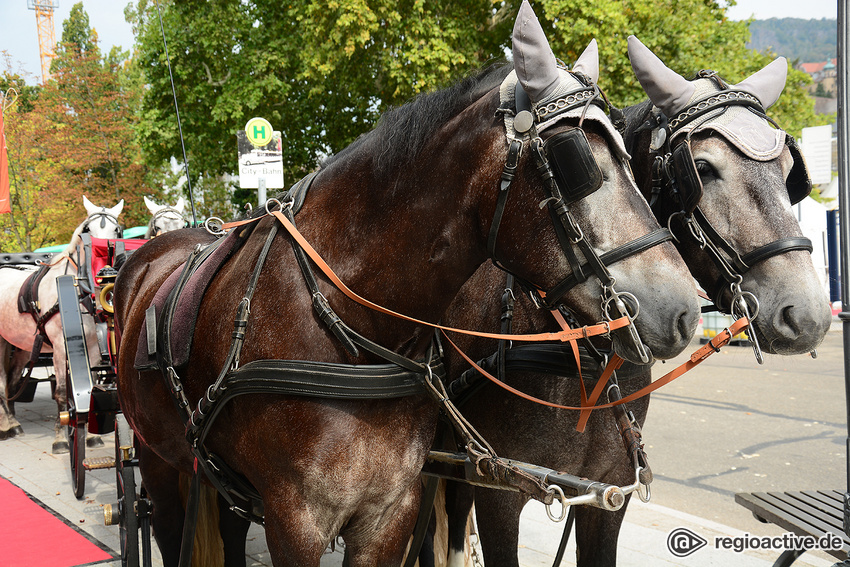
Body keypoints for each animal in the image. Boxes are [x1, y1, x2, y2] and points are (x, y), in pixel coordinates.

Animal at [0, 196, 124, 452]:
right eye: (87, 230)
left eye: (117, 230)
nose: (102, 272)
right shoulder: (59, 346)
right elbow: (61, 390)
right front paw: (61, 437)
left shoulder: (92, 346)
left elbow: (91, 385)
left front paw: (91, 435)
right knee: (1, 381)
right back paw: (7, 426)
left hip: (22, 344)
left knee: (12, 379)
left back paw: (13, 421)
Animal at [111, 10, 696, 567]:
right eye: (574, 161)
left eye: (631, 157)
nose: (684, 310)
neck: (352, 331)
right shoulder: (295, 521)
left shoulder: (389, 513)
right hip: (157, 458)